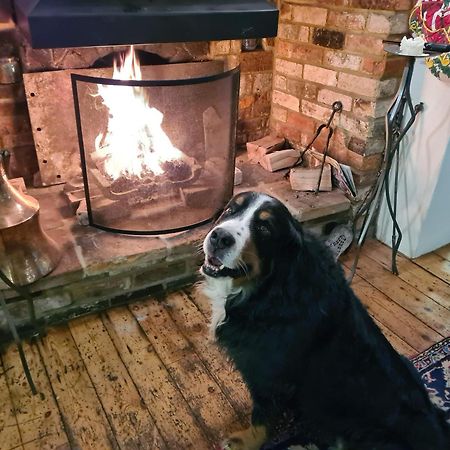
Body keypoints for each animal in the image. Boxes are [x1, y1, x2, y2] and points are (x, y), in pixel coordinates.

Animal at [201, 192, 450, 450]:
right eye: (230, 210)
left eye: (263, 228)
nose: (220, 237)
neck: (270, 289)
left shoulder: (268, 374)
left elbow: (263, 414)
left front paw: (245, 441)